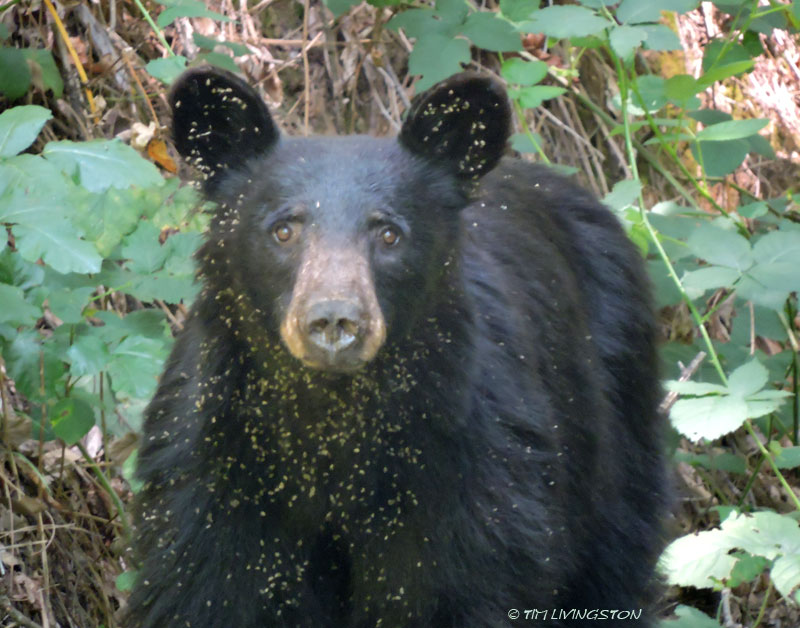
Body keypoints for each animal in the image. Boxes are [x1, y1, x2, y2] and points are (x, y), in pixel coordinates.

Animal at [127, 67, 666, 628]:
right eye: (283, 229)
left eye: (388, 234)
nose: (333, 320)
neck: (333, 419)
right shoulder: (217, 470)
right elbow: (212, 588)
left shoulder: (471, 477)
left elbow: (457, 586)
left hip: (617, 408)